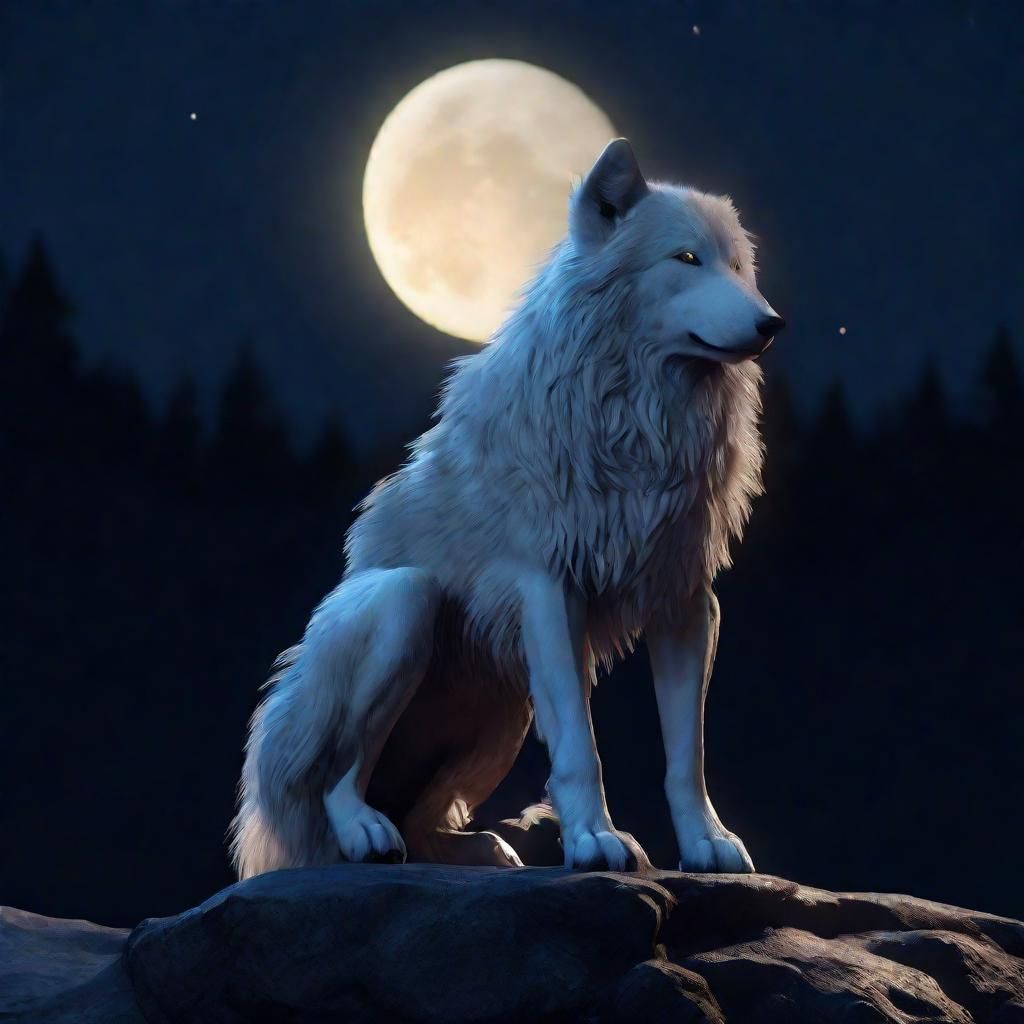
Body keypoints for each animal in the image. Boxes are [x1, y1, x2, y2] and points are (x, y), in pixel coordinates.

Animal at [230, 138, 784, 878]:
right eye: (686, 259)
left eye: (740, 267)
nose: (772, 323)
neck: (638, 417)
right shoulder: (548, 588)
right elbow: (580, 748)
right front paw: (593, 842)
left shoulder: (684, 600)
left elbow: (684, 756)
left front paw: (706, 844)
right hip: (403, 606)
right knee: (339, 779)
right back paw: (365, 834)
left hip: (506, 708)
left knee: (425, 825)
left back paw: (487, 851)